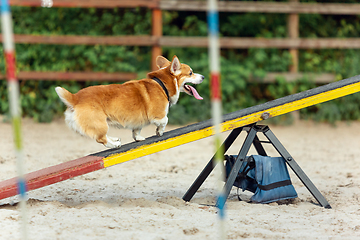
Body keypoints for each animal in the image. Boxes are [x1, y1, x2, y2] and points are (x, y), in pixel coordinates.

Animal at [54, 55, 204, 148]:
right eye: (191, 73)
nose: (203, 77)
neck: (162, 84)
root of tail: (74, 97)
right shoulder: (158, 115)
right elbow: (165, 121)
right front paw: (159, 132)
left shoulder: (138, 120)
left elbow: (136, 130)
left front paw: (139, 138)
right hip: (100, 123)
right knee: (101, 138)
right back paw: (114, 144)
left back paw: (115, 139)